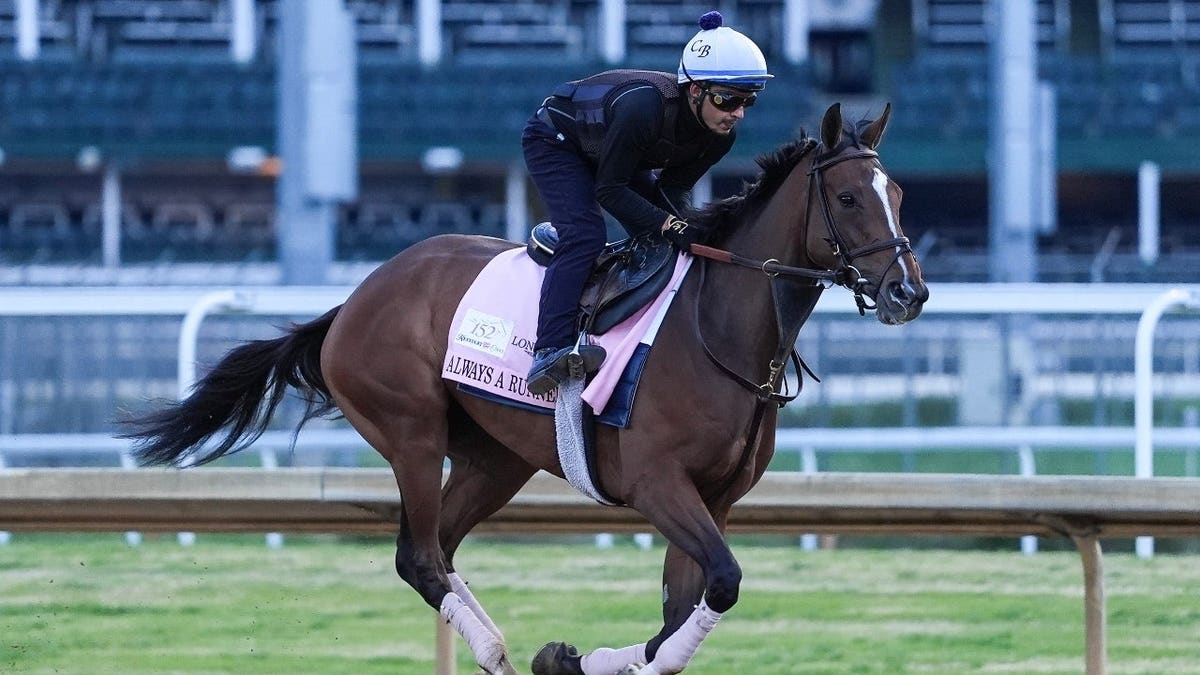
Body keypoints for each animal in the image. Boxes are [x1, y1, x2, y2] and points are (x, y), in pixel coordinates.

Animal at [122, 102, 928, 675]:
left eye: (897, 191)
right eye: (849, 198)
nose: (907, 291)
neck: (717, 331)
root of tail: (352, 301)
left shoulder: (715, 498)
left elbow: (681, 611)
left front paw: (575, 657)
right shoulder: (658, 483)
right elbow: (721, 584)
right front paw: (568, 659)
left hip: (494, 458)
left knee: (440, 552)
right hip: (411, 431)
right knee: (421, 557)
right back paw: (500, 654)